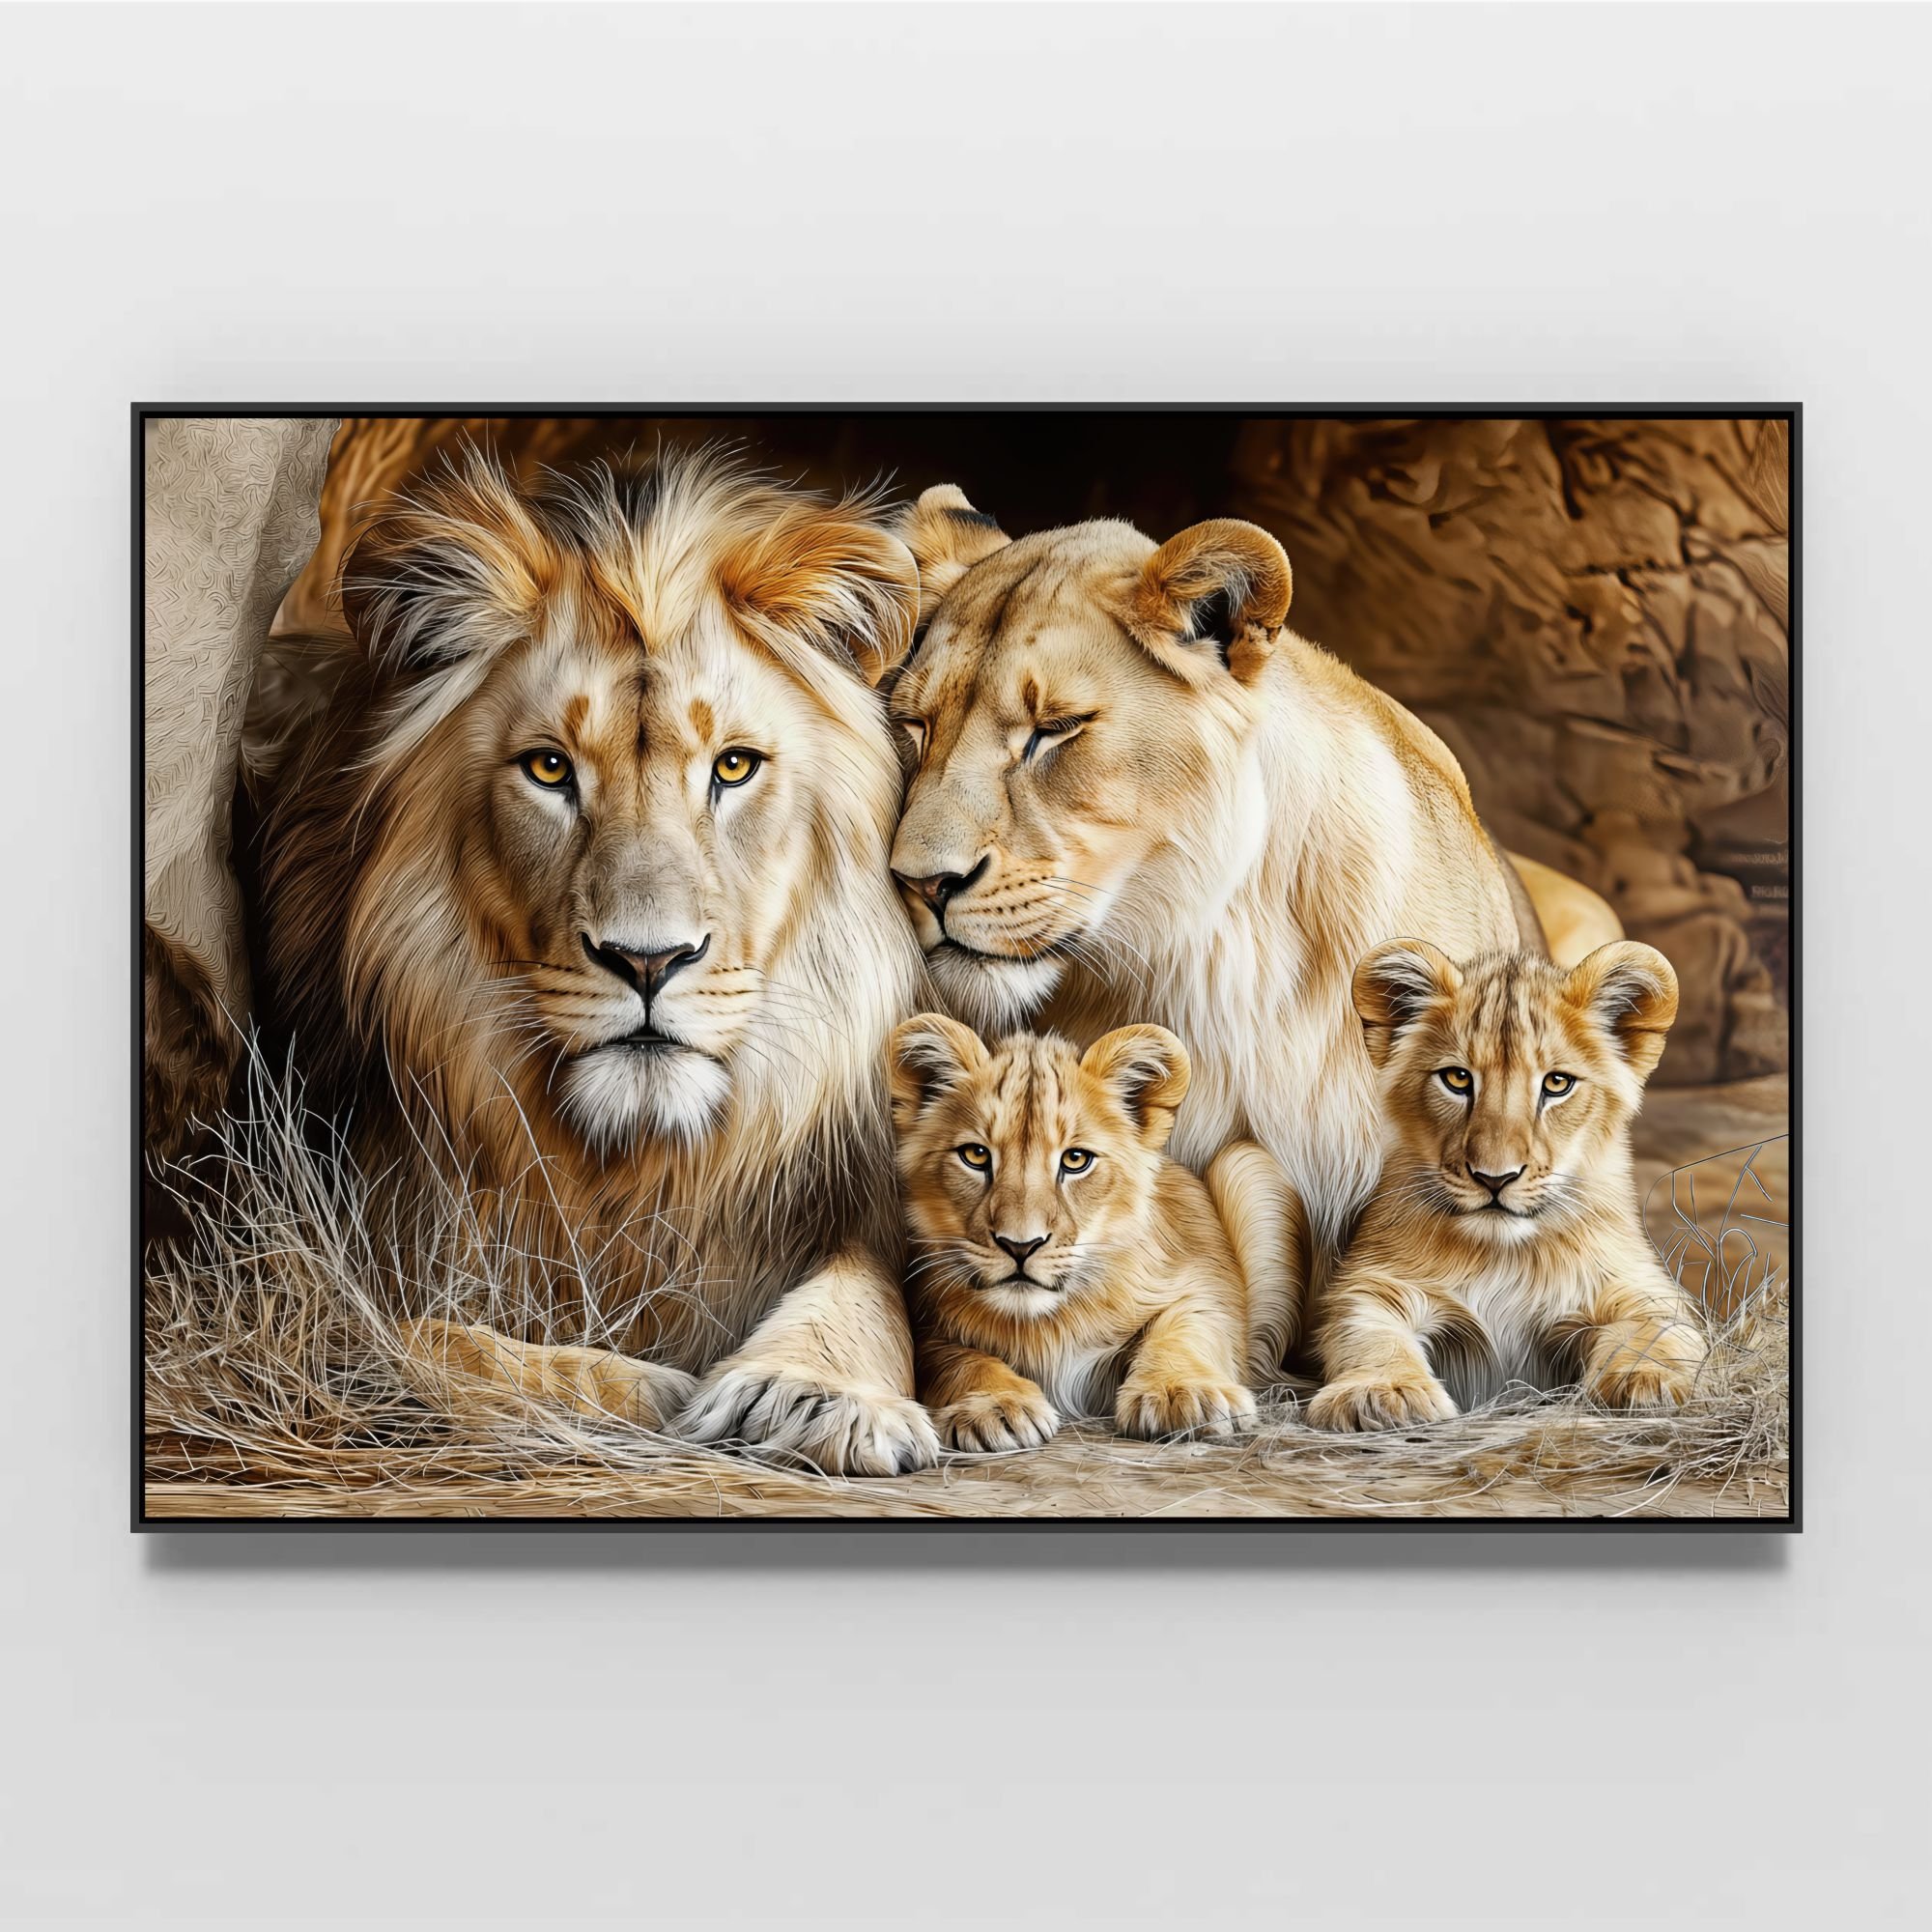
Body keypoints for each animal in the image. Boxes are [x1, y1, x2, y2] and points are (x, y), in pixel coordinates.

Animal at [256, 447, 942, 1474]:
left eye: (733, 767)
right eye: (549, 769)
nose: (648, 961)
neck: (625, 1166)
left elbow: (866, 1291)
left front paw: (809, 1396)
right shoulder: (281, 1277)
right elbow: (412, 1335)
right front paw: (649, 1387)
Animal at [888, 1014, 1297, 1449]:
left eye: (1076, 1160)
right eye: (976, 1154)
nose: (1021, 1246)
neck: (1044, 1325)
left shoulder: (1203, 1277)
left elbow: (1187, 1326)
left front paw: (1185, 1394)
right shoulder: (927, 1321)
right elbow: (957, 1357)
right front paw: (996, 1407)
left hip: (1243, 1161)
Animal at [1308, 939, 1705, 1429]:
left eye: (1558, 1083)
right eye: (1457, 1078)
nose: (1494, 1178)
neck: (1503, 1257)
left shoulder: (1637, 1283)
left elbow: (1657, 1326)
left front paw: (1646, 1381)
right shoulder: (1374, 1283)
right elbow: (1366, 1330)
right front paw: (1381, 1392)